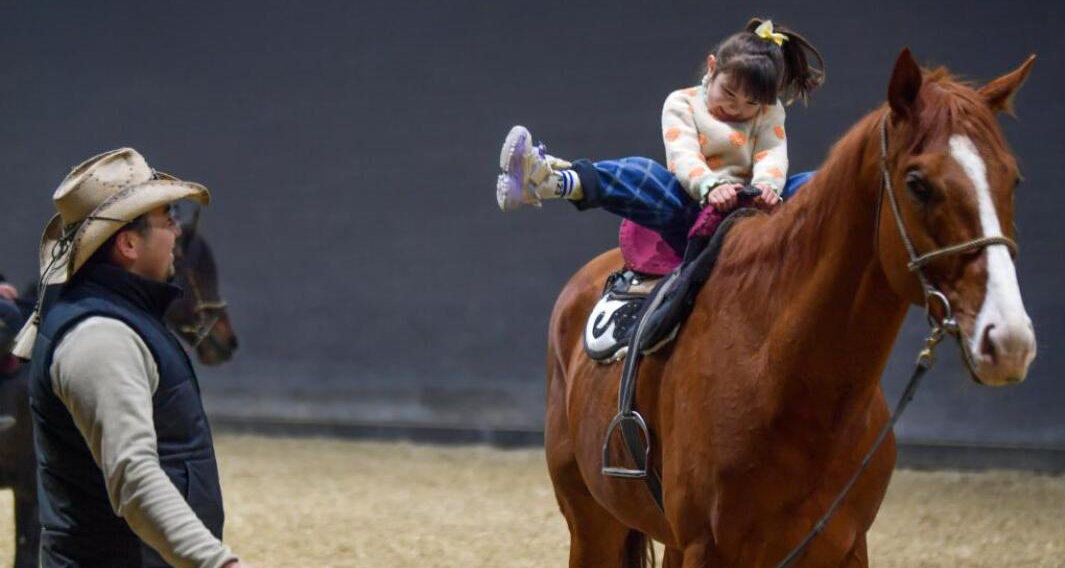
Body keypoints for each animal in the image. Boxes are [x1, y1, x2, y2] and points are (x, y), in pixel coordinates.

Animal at [545, 49, 1035, 566]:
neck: (778, 370)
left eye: (1013, 178)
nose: (1009, 339)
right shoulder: (708, 548)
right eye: (917, 184)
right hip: (592, 524)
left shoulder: (846, 545)